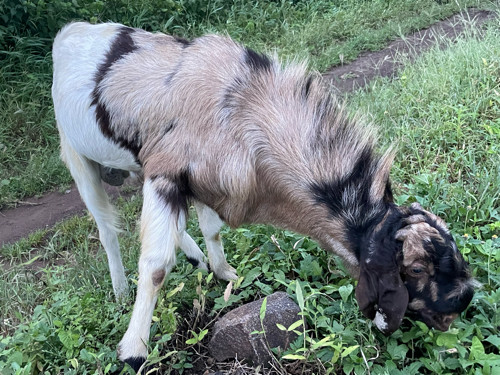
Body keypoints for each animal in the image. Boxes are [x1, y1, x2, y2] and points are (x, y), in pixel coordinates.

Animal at [51, 22, 476, 372]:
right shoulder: (165, 174)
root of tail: (69, 32)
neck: (240, 111)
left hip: (138, 166)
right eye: (415, 269)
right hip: (78, 158)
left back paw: (194, 259)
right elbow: (156, 265)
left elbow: (210, 229)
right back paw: (121, 291)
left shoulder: (199, 182)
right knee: (107, 229)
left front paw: (224, 274)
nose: (462, 303)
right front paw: (134, 351)